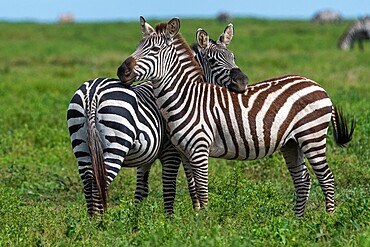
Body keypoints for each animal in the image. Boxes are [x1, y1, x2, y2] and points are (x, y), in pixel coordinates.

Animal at [67, 23, 249, 216]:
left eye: (233, 57)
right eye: (213, 61)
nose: (242, 82)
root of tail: (92, 93)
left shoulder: (147, 156)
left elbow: (141, 190)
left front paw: (136, 219)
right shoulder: (173, 151)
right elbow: (175, 186)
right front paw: (178, 218)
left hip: (82, 148)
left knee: (88, 184)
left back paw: (91, 221)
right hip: (114, 146)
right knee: (98, 184)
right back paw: (101, 222)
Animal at [118, 16, 356, 216]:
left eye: (155, 49)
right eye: (137, 48)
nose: (122, 71)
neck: (186, 96)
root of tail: (318, 85)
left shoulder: (199, 149)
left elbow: (202, 190)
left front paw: (204, 225)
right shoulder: (185, 152)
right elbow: (193, 188)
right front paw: (195, 219)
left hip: (311, 135)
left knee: (326, 178)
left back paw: (328, 219)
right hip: (292, 142)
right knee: (303, 179)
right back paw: (298, 222)